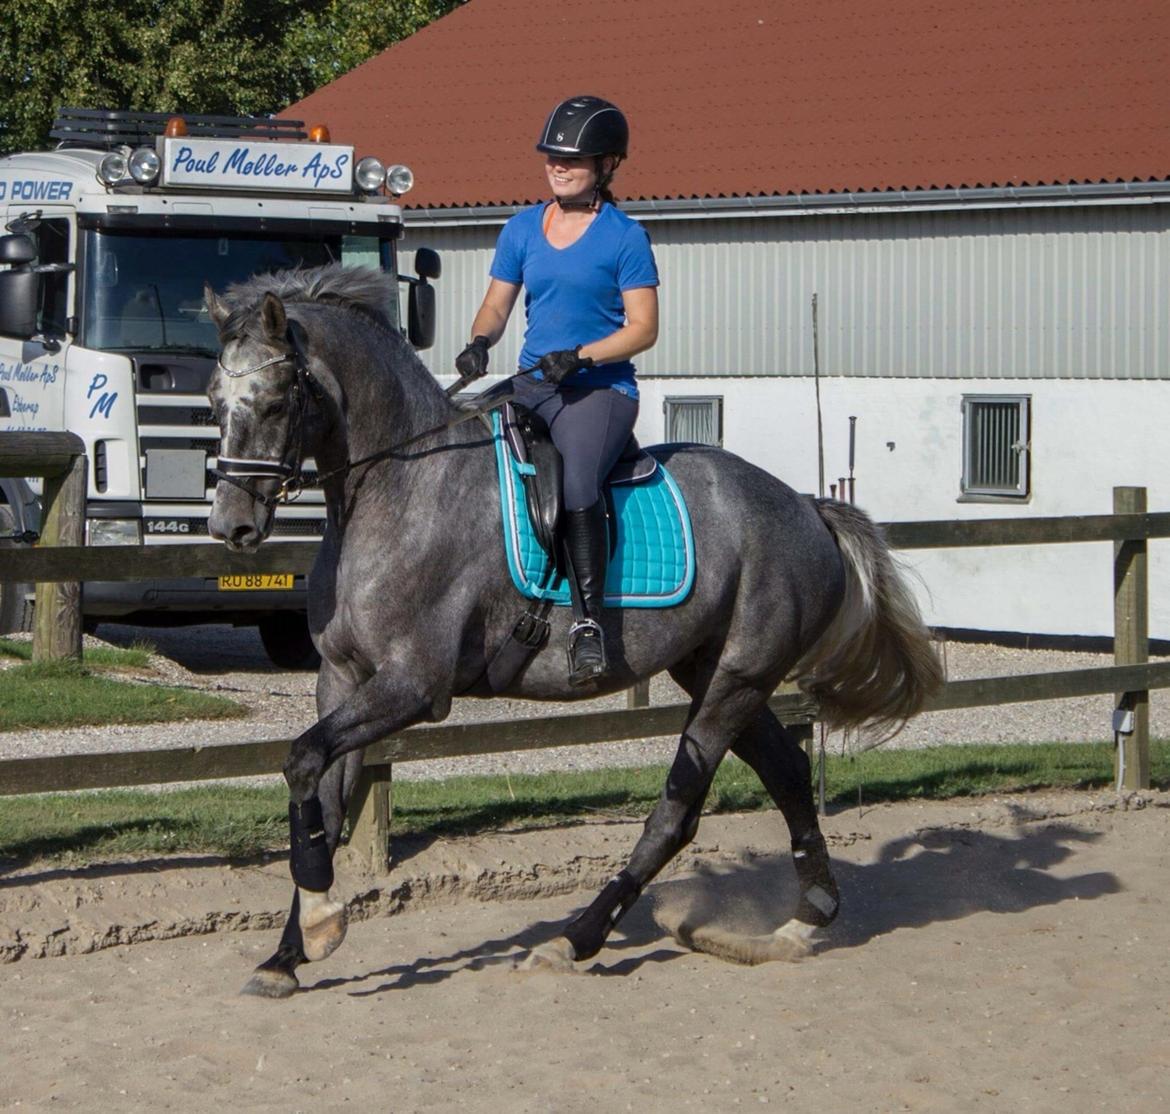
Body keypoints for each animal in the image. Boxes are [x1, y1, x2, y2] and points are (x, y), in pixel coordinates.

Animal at [205, 265, 945, 996]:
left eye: (275, 402)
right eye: (215, 401)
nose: (230, 527)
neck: (399, 490)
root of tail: (807, 507)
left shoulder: (412, 686)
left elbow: (303, 761)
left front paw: (320, 920)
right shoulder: (342, 679)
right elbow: (321, 797)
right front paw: (289, 952)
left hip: (737, 681)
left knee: (678, 812)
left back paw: (575, 939)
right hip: (715, 671)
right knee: (788, 774)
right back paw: (804, 919)